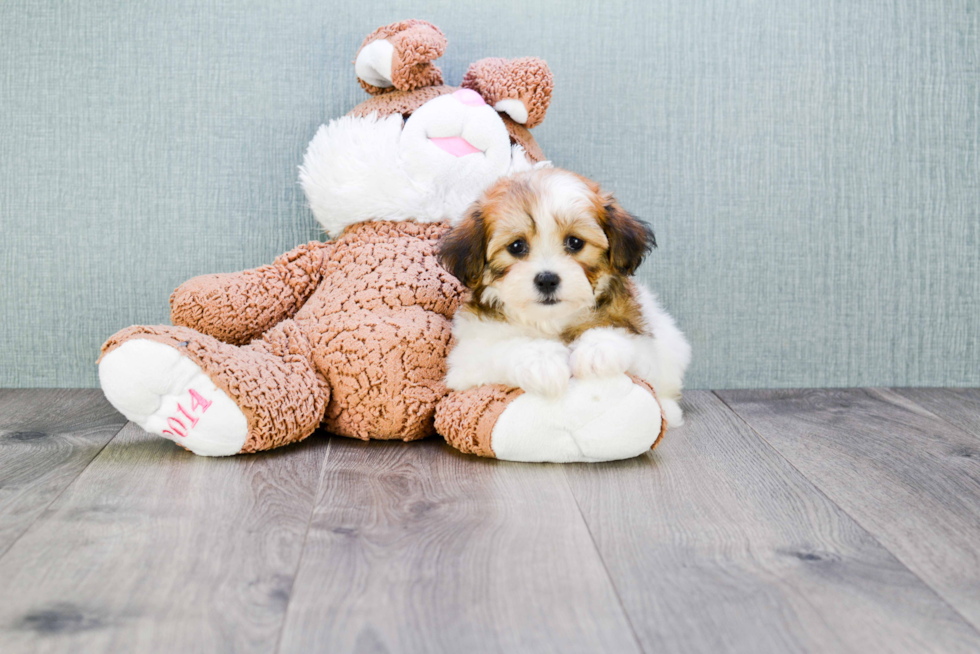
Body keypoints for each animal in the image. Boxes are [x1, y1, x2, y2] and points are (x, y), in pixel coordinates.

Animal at [436, 167, 688, 428]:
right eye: (516, 246)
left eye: (575, 242)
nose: (547, 279)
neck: (551, 321)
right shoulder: (466, 359)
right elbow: (500, 349)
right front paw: (541, 360)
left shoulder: (642, 343)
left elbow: (628, 342)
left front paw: (598, 349)